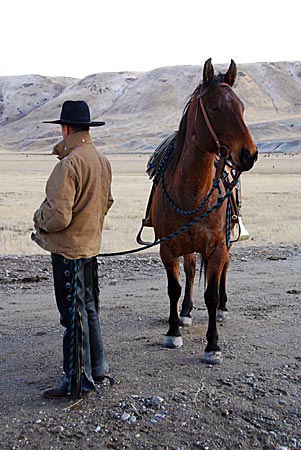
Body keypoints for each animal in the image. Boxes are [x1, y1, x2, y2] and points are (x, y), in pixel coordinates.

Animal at [149, 59, 256, 364]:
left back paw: (223, 309)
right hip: (187, 245)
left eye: (242, 107)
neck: (191, 194)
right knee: (191, 269)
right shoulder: (168, 248)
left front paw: (212, 345)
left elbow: (211, 293)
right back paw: (185, 312)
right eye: (215, 107)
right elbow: (174, 288)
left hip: (226, 243)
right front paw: (173, 331)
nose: (249, 154)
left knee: (223, 272)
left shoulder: (218, 247)